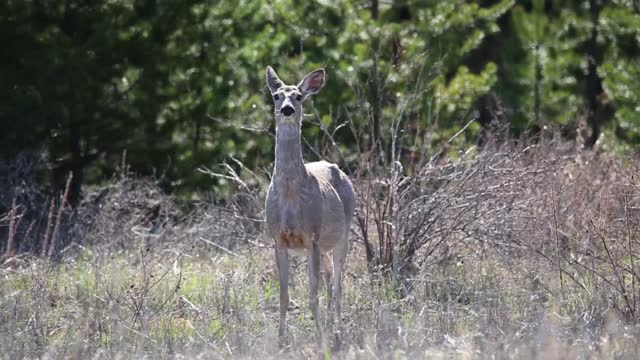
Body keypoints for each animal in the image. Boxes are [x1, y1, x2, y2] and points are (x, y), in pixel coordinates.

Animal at [264, 65, 356, 346]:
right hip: (322, 246)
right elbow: (283, 296)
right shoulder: (278, 239)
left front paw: (320, 339)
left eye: (298, 97)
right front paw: (280, 341)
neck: (291, 197)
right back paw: (330, 326)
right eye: (276, 96)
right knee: (328, 279)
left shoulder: (311, 235)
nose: (286, 110)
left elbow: (312, 294)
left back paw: (338, 330)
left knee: (337, 284)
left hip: (342, 236)